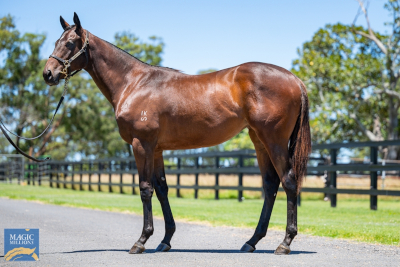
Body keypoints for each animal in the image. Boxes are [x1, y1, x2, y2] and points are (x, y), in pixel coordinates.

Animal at [43, 13, 312, 255]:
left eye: (69, 43)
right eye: (56, 41)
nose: (48, 74)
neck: (134, 83)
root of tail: (294, 80)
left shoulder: (141, 145)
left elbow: (145, 189)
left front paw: (141, 241)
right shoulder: (156, 149)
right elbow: (162, 189)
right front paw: (165, 240)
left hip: (274, 141)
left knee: (288, 181)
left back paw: (285, 243)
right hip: (259, 141)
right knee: (270, 184)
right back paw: (251, 241)